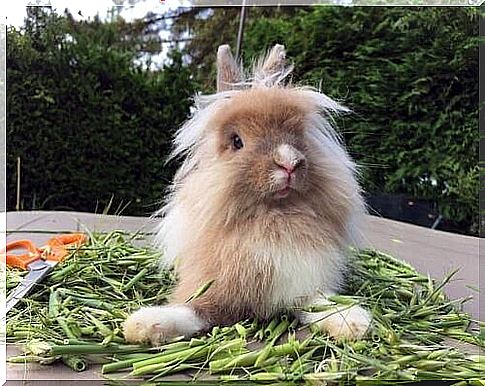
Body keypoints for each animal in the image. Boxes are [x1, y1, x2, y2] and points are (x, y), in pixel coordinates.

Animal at [124, 43, 370, 346]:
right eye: (236, 141)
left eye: (298, 135)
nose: (289, 162)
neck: (272, 219)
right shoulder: (216, 286)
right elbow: (193, 309)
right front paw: (143, 324)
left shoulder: (302, 284)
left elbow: (320, 302)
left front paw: (355, 322)